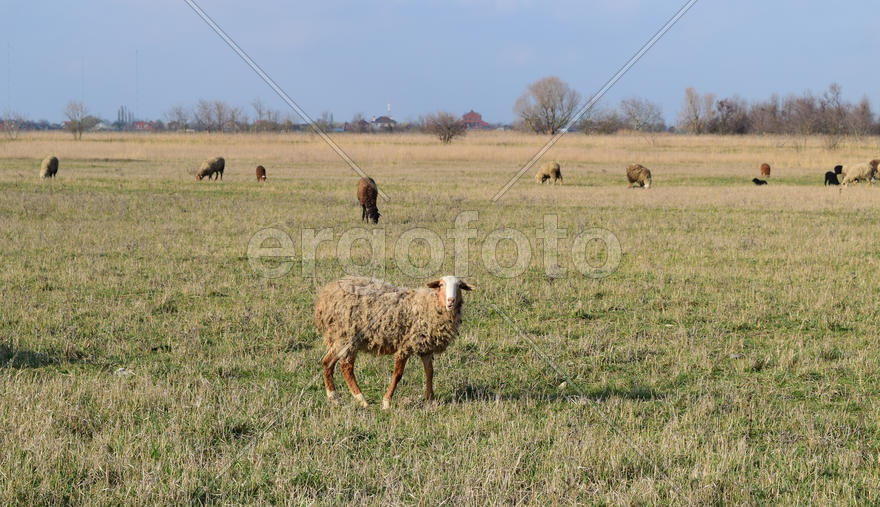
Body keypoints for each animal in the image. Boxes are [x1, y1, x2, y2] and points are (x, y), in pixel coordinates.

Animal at [314, 275, 473, 409]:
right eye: (441, 285)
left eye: (459, 286)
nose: (451, 301)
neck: (428, 305)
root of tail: (326, 296)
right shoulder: (405, 346)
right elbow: (398, 374)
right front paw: (386, 401)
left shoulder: (425, 347)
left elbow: (430, 372)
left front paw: (431, 400)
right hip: (349, 337)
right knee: (345, 367)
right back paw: (361, 399)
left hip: (339, 338)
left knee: (327, 363)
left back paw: (334, 398)